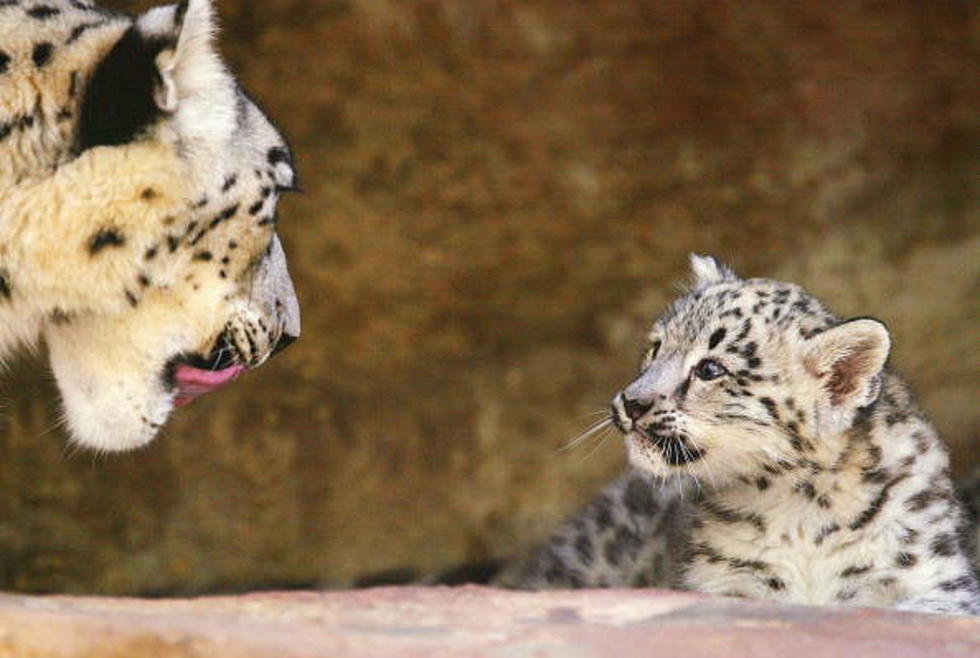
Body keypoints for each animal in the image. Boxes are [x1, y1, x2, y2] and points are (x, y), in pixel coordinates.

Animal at [506, 254, 980, 612]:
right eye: (656, 347)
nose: (630, 401)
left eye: (710, 369)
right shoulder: (721, 581)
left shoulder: (936, 579)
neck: (802, 507)